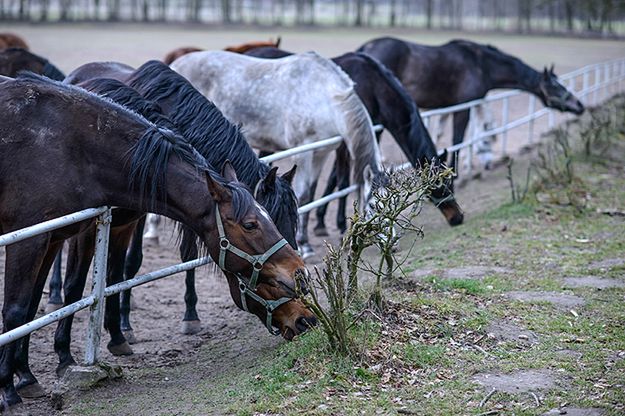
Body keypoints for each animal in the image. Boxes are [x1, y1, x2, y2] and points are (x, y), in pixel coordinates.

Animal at [63, 61, 300, 344]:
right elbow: (131, 263)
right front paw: (125, 324)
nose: (296, 277)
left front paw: (190, 315)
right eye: (269, 219)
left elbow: (188, 256)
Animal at [171, 50, 386, 258]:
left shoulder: (321, 153)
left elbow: (311, 193)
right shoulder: (303, 150)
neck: (324, 95)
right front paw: (305, 245)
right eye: (373, 206)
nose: (387, 243)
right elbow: (304, 194)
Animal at [244, 45, 464, 234]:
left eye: (450, 181)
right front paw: (336, 223)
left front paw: (324, 221)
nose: (458, 217)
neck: (373, 85)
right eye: (438, 185)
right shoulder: (346, 141)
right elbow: (340, 180)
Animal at [356, 36, 584, 171]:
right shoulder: (463, 107)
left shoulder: (458, 106)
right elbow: (458, 139)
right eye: (556, 87)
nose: (580, 105)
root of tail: (365, 49)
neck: (482, 64)